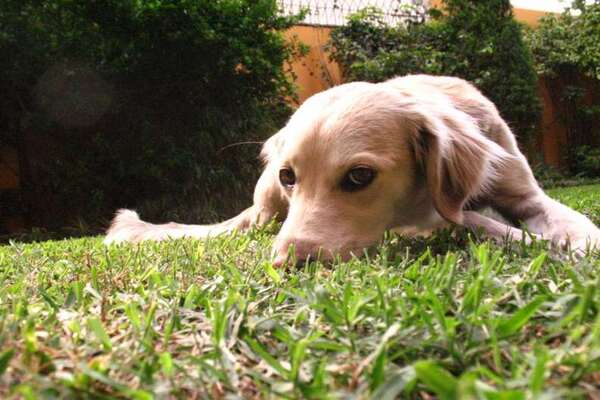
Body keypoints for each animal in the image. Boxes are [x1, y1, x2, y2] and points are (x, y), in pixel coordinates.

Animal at [104, 75, 600, 264]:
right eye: (290, 176)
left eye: (359, 176)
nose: (285, 264)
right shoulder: (424, 221)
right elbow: (479, 223)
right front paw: (537, 242)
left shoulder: (527, 194)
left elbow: (575, 222)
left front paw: (575, 243)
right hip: (263, 210)